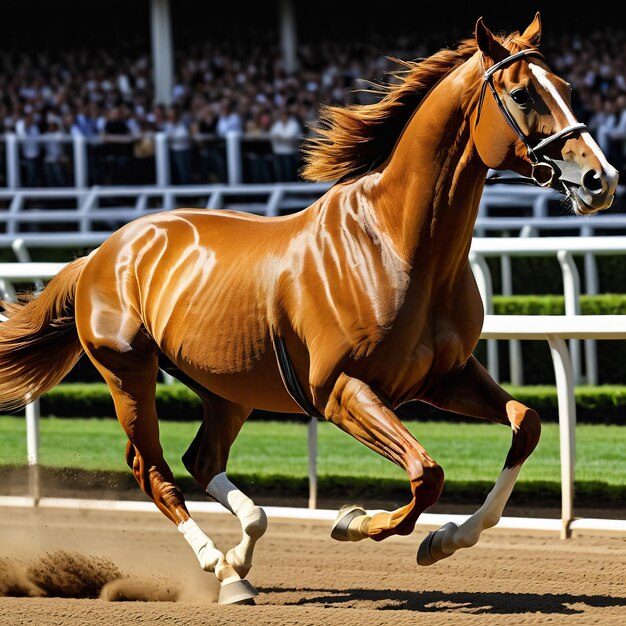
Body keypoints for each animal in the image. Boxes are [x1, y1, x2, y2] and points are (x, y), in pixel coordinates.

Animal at [0, 13, 616, 600]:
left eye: (565, 86)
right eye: (523, 94)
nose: (600, 178)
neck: (397, 243)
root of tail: (102, 251)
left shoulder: (444, 376)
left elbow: (526, 422)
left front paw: (447, 537)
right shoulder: (339, 390)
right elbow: (427, 472)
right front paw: (354, 520)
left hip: (228, 385)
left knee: (203, 459)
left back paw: (241, 557)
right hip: (128, 370)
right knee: (152, 468)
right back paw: (218, 566)